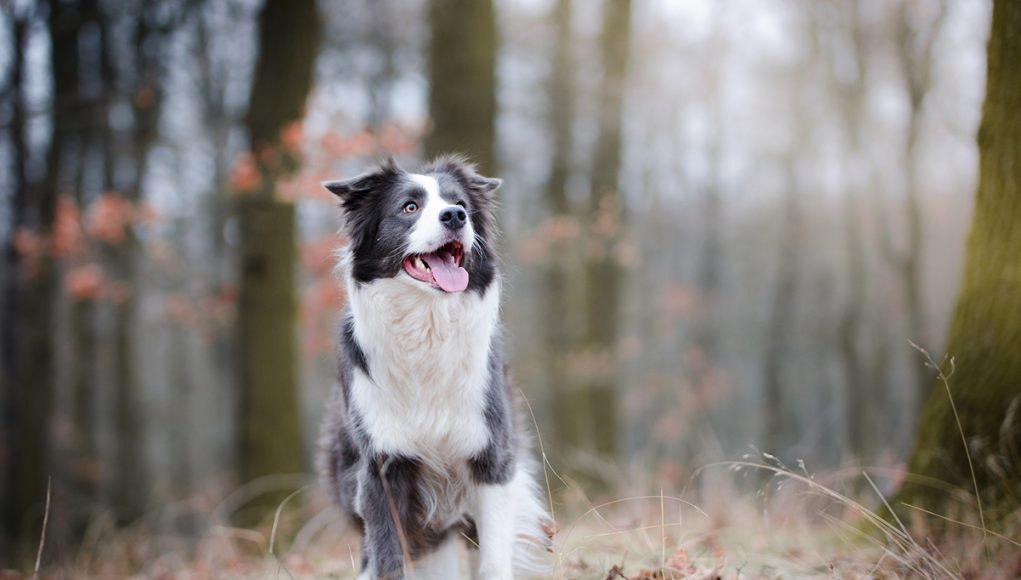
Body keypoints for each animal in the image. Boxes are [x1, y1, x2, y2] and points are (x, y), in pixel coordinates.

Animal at [316, 155, 551, 580]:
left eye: (460, 203)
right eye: (410, 207)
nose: (455, 216)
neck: (427, 324)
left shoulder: (492, 461)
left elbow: (493, 561)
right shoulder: (380, 470)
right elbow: (387, 561)